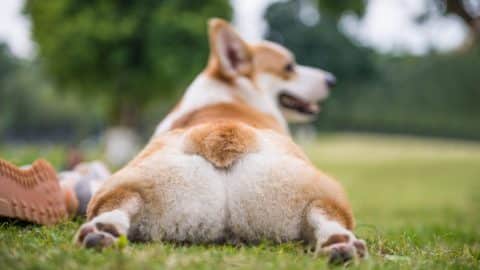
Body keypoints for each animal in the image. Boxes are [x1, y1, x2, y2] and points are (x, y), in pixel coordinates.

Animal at [75, 19, 368, 264]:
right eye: (289, 67)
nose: (331, 80)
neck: (231, 96)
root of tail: (221, 134)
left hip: (127, 184)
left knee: (121, 203)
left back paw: (103, 232)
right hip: (331, 192)